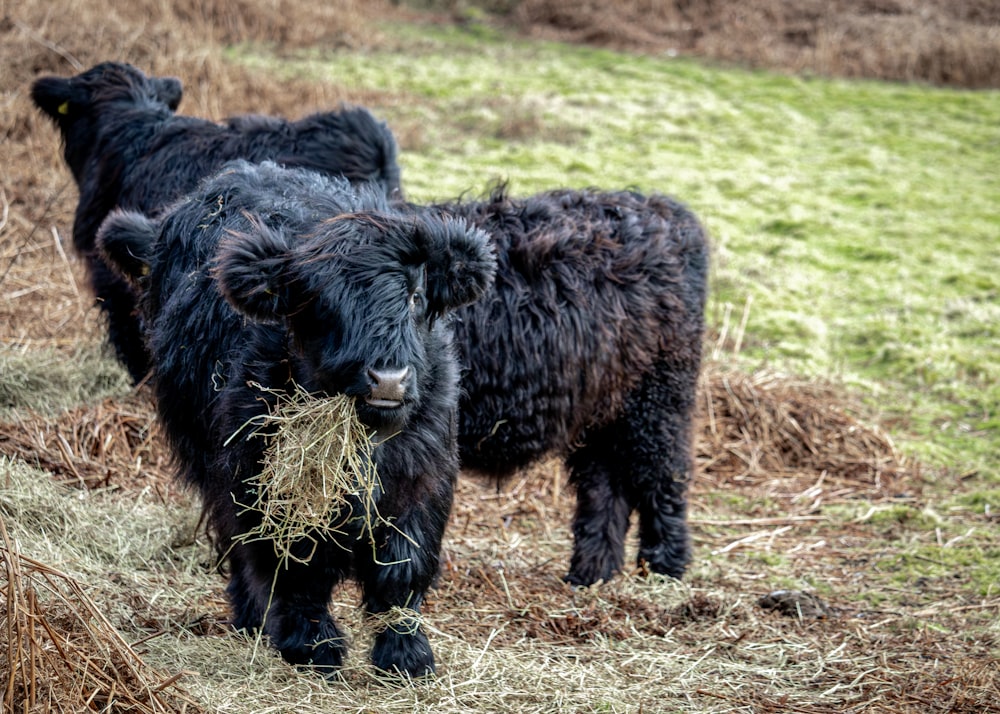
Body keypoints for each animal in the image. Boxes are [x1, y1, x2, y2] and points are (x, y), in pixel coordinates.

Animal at [97, 161, 496, 680]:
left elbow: (401, 571)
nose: (387, 379)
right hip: (208, 461)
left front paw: (407, 655)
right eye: (321, 301)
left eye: (414, 295)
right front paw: (313, 647)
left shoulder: (422, 482)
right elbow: (294, 569)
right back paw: (251, 617)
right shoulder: (257, 480)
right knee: (238, 546)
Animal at [414, 186, 712, 588]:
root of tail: (665, 210)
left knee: (664, 473)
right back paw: (592, 570)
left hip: (657, 399)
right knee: (604, 486)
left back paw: (664, 565)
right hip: (603, 410)